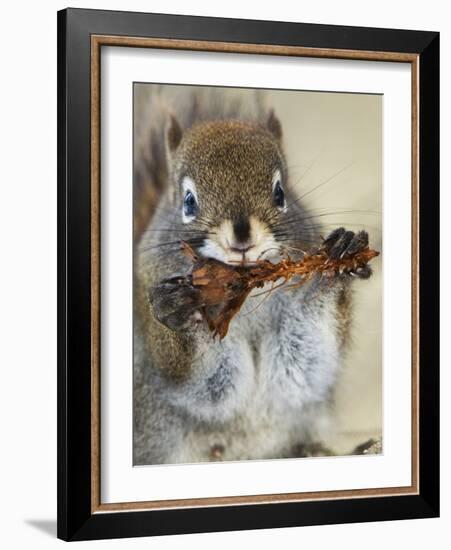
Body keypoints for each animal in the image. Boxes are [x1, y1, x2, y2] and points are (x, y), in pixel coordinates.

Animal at [132, 87, 372, 466]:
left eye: (280, 194)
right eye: (188, 202)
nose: (242, 236)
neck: (241, 289)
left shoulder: (300, 366)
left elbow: (307, 363)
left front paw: (336, 261)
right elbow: (200, 383)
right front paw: (175, 309)